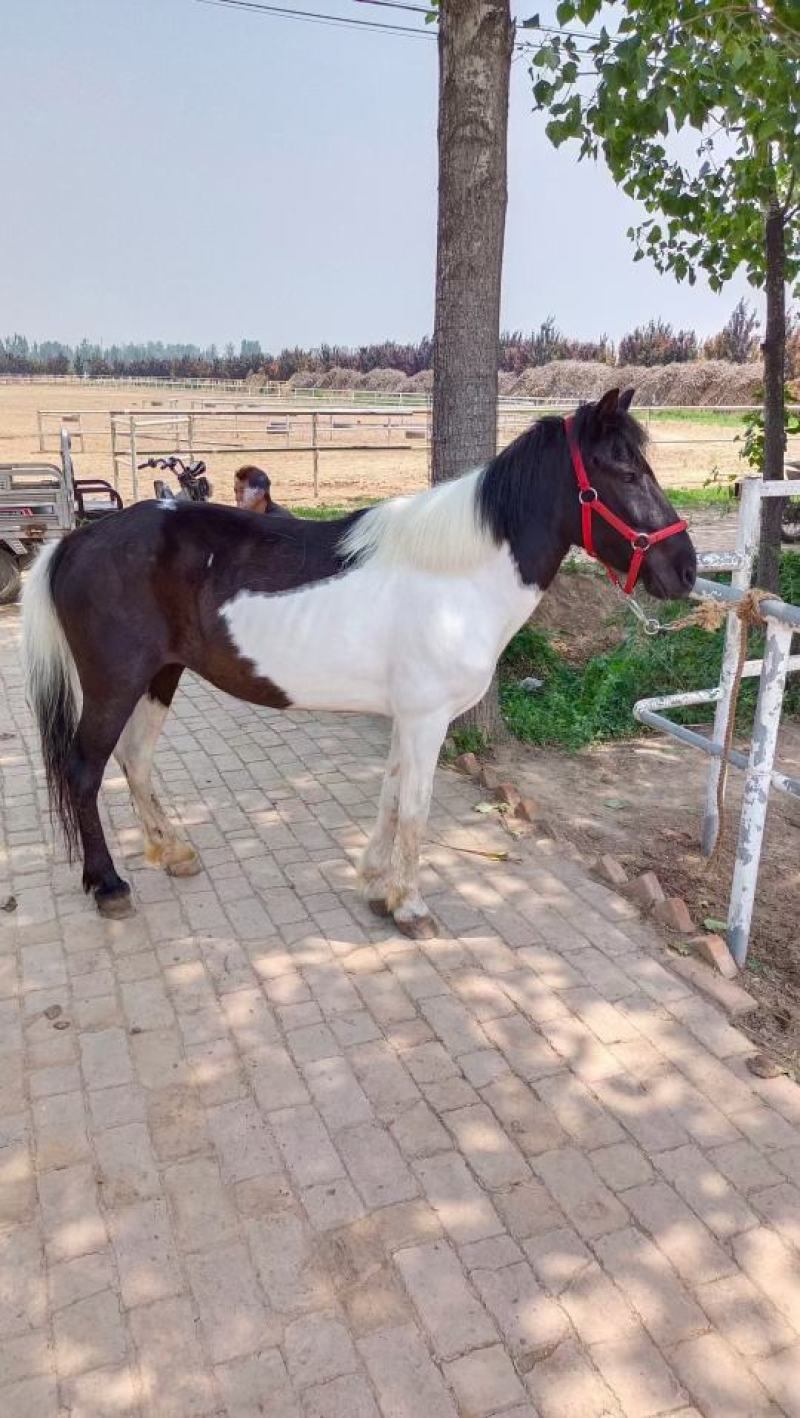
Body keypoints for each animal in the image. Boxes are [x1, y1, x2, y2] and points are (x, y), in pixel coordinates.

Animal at [21, 388, 696, 938]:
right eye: (626, 470)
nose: (685, 570)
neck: (455, 574)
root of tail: (76, 540)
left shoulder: (408, 717)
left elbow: (392, 795)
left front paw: (375, 885)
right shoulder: (427, 719)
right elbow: (416, 808)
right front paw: (411, 907)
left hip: (159, 677)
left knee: (135, 760)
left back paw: (173, 852)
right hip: (115, 684)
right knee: (85, 770)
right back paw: (109, 885)